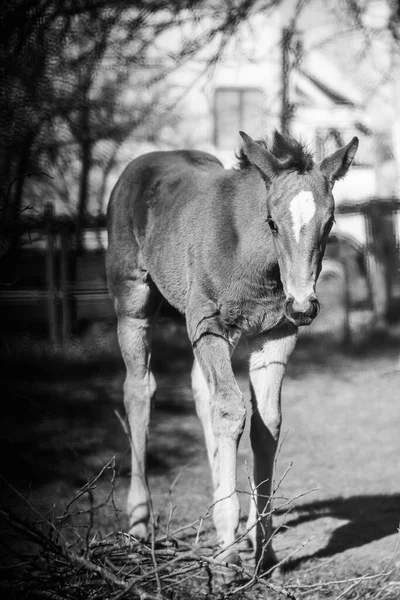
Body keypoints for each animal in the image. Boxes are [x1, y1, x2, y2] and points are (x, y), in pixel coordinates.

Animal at [107, 130, 360, 580]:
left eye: (329, 222)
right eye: (272, 221)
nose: (304, 306)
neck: (252, 255)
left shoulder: (277, 333)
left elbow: (266, 423)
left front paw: (264, 552)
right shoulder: (209, 325)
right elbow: (230, 412)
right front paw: (226, 558)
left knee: (200, 393)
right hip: (133, 299)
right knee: (139, 390)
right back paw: (138, 525)